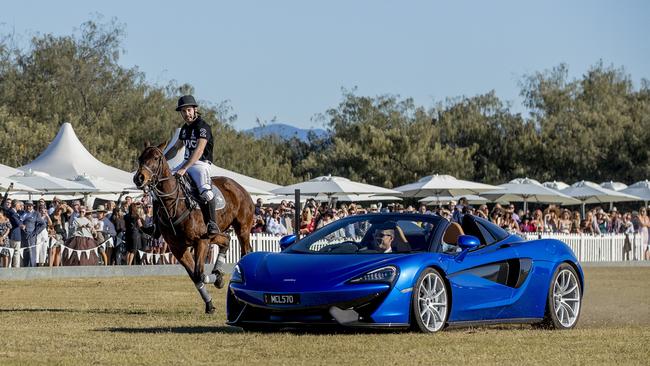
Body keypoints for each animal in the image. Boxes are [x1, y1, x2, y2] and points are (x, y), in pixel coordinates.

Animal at [134, 142, 253, 314]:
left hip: (242, 228)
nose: (139, 178)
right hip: (215, 234)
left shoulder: (200, 242)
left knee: (245, 250)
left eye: (156, 158)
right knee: (226, 239)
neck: (173, 204)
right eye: (140, 158)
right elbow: (195, 277)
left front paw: (217, 280)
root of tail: (239, 187)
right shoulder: (178, 248)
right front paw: (210, 302)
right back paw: (218, 273)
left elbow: (199, 274)